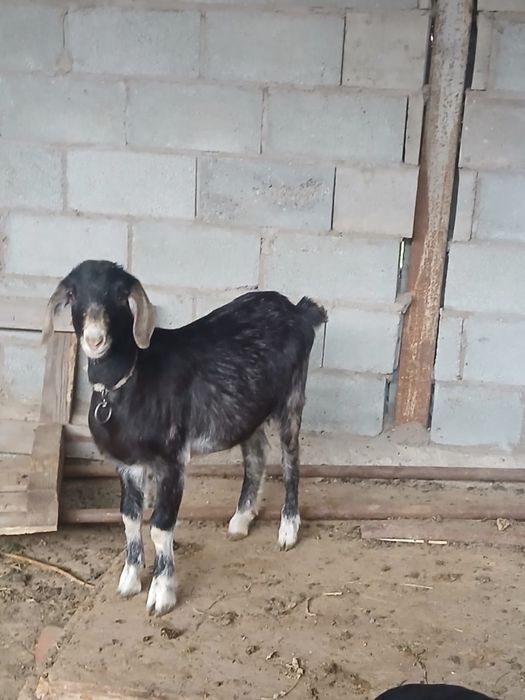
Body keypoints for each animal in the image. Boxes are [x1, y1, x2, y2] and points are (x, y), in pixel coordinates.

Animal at [43, 260, 327, 616]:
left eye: (119, 295)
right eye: (72, 295)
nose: (95, 339)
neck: (129, 378)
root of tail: (298, 311)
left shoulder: (171, 460)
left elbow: (160, 527)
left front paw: (161, 595)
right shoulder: (127, 464)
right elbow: (129, 518)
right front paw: (129, 581)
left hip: (291, 397)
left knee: (291, 460)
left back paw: (288, 529)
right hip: (245, 411)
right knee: (257, 453)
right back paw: (241, 519)